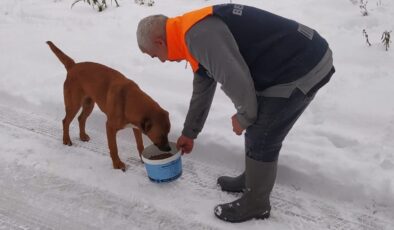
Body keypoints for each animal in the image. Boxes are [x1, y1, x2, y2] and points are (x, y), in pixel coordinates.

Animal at [46, 41, 171, 171]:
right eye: (161, 135)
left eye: (168, 132)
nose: (169, 149)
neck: (127, 100)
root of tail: (73, 66)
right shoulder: (110, 127)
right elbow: (114, 148)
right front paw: (117, 164)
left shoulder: (136, 127)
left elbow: (140, 144)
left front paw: (142, 158)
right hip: (73, 104)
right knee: (65, 121)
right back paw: (66, 139)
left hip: (89, 104)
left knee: (81, 118)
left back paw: (82, 136)